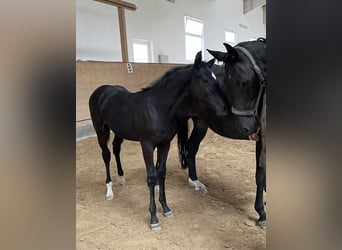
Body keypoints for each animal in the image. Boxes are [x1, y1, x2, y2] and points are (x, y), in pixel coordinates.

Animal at [89, 51, 230, 231]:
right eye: (205, 80)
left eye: (215, 79)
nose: (225, 108)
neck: (157, 108)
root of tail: (101, 91)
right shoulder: (147, 146)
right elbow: (151, 177)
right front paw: (154, 218)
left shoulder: (165, 144)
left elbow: (161, 173)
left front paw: (166, 208)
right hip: (101, 130)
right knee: (106, 155)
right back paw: (109, 190)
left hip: (119, 131)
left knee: (116, 149)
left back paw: (121, 178)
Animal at [178, 38, 268, 227]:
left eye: (244, 81)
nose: (248, 129)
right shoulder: (262, 140)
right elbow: (260, 174)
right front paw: (261, 213)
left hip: (201, 124)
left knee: (191, 147)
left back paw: (195, 182)